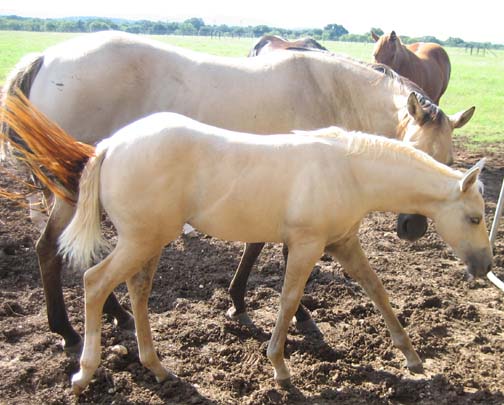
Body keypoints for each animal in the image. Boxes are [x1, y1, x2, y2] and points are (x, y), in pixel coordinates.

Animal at [0, 30, 474, 350]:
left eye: (449, 161)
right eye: (413, 154)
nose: (413, 227)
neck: (329, 90)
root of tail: (46, 57)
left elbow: (256, 243)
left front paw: (238, 301)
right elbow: (279, 252)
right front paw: (297, 314)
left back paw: (109, 317)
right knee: (50, 249)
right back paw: (67, 331)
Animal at [2, 94, 492, 392]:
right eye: (474, 217)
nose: (485, 267)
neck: (348, 170)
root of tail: (109, 145)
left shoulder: (343, 242)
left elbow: (377, 291)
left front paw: (412, 357)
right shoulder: (309, 244)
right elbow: (289, 300)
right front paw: (280, 368)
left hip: (149, 240)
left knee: (137, 291)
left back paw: (156, 366)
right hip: (139, 240)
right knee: (94, 282)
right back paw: (84, 372)